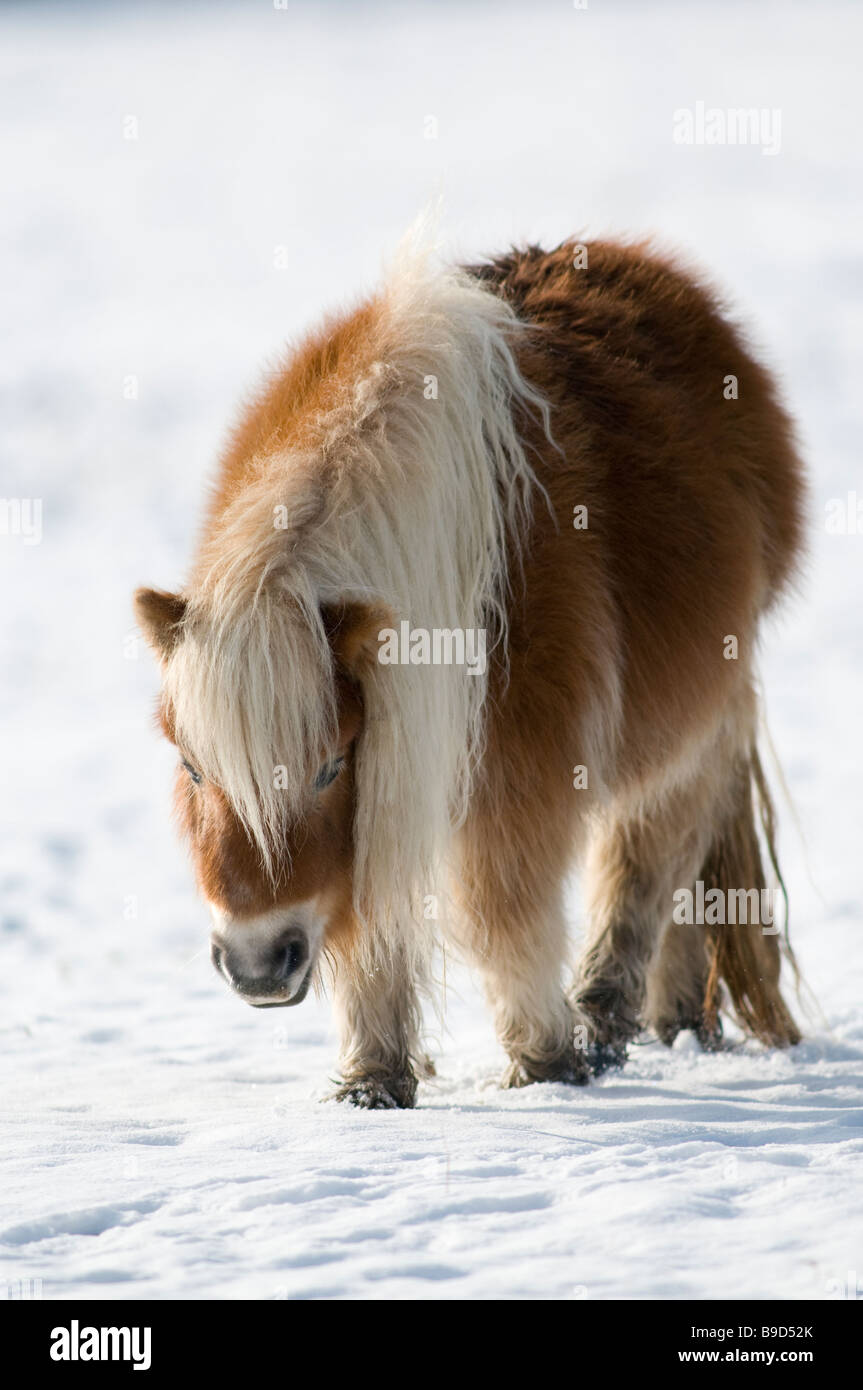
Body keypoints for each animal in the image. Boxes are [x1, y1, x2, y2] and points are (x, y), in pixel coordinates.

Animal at [134, 236, 800, 1106]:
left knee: (651, 856)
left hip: (694, 722)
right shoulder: (395, 764)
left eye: (328, 768)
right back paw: (671, 1023)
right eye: (191, 767)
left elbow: (501, 912)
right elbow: (369, 911)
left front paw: (543, 1065)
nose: (255, 964)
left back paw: (618, 1021)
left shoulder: (515, 771)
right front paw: (372, 1081)